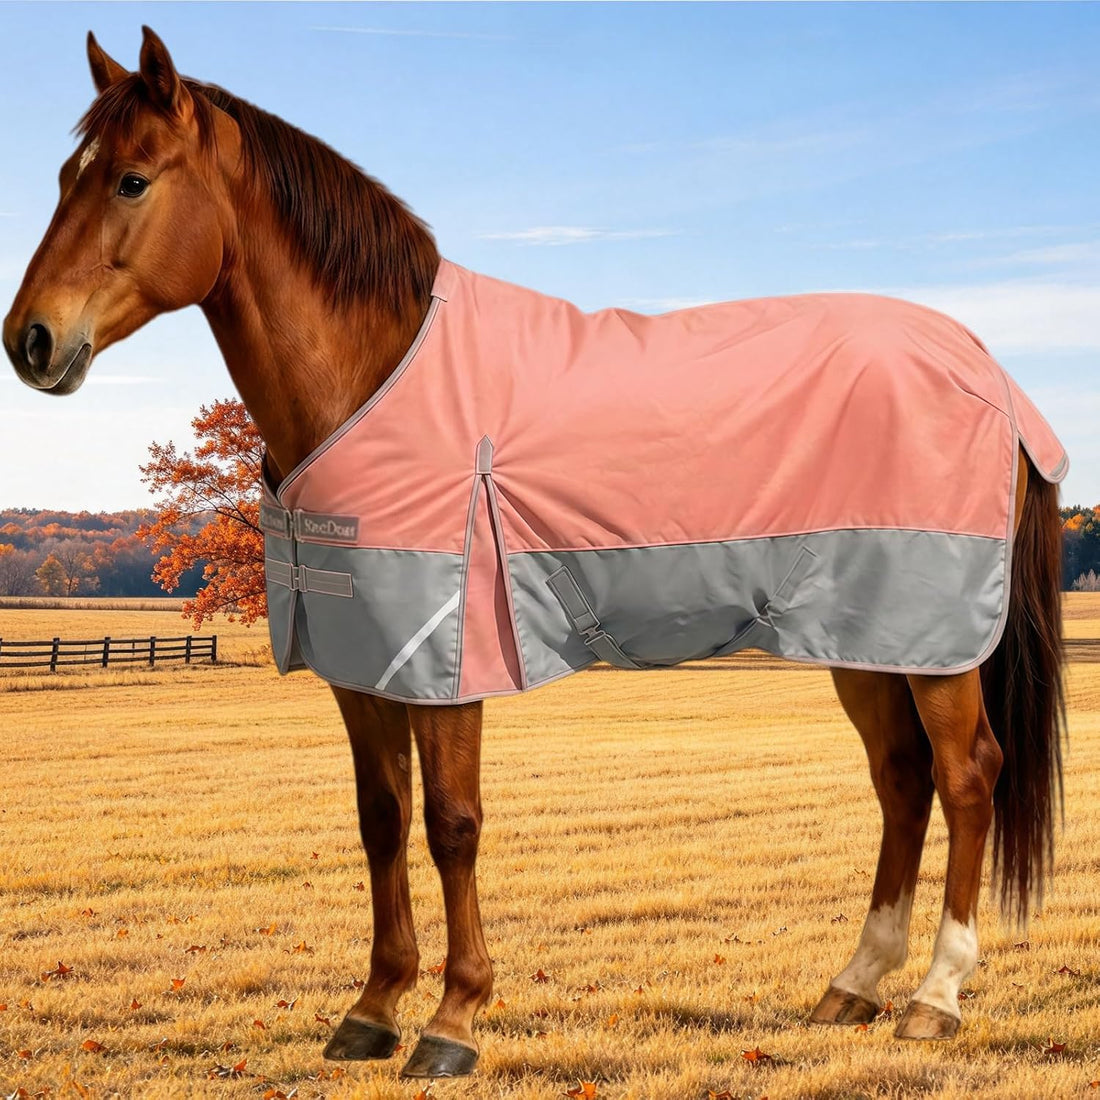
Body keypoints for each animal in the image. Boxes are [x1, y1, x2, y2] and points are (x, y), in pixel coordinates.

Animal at [2, 28, 1065, 1079]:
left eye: (132, 180)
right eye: (63, 175)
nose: (31, 341)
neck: (374, 371)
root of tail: (990, 375)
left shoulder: (448, 662)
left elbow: (452, 824)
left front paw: (453, 1019)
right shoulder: (362, 665)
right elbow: (381, 821)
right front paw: (372, 1009)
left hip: (933, 644)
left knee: (968, 774)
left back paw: (935, 998)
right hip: (866, 639)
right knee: (902, 779)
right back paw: (853, 986)